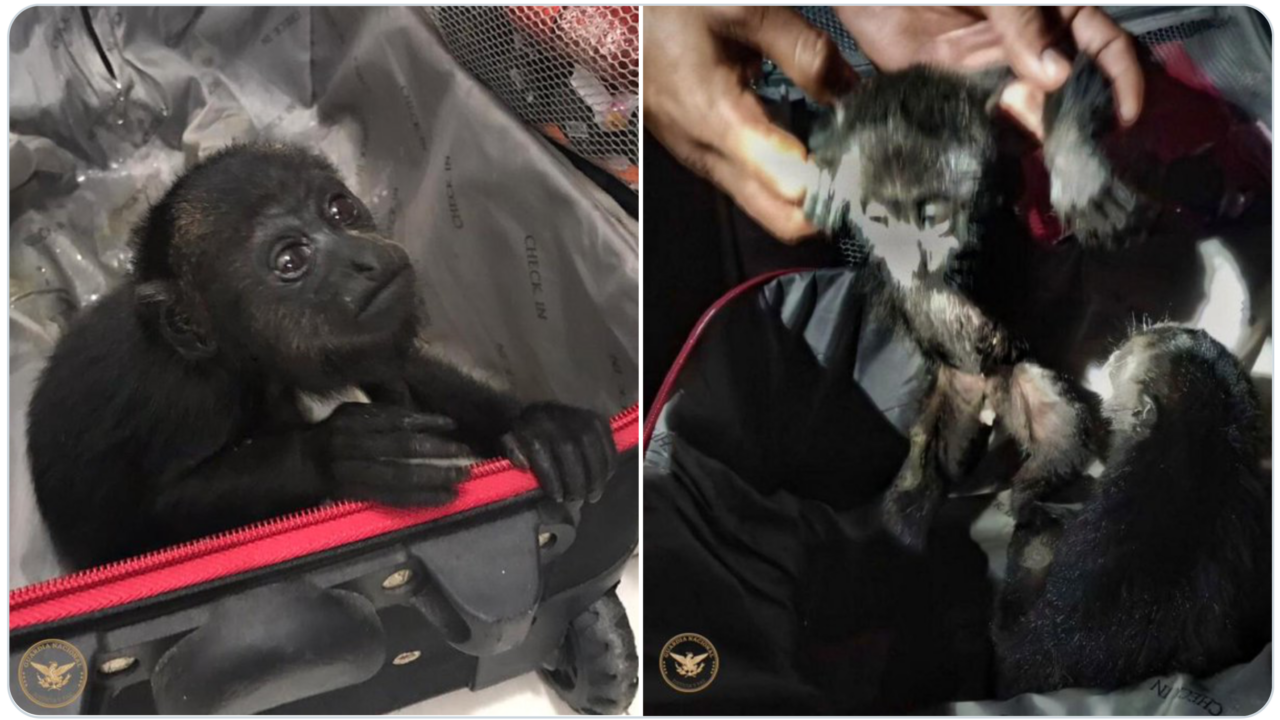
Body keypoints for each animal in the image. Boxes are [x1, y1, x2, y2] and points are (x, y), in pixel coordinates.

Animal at [27, 143, 619, 570]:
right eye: (291, 260)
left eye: (339, 209)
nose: (364, 259)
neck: (240, 358)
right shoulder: (188, 395)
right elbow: (146, 525)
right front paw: (341, 453)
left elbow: (394, 366)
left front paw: (541, 426)